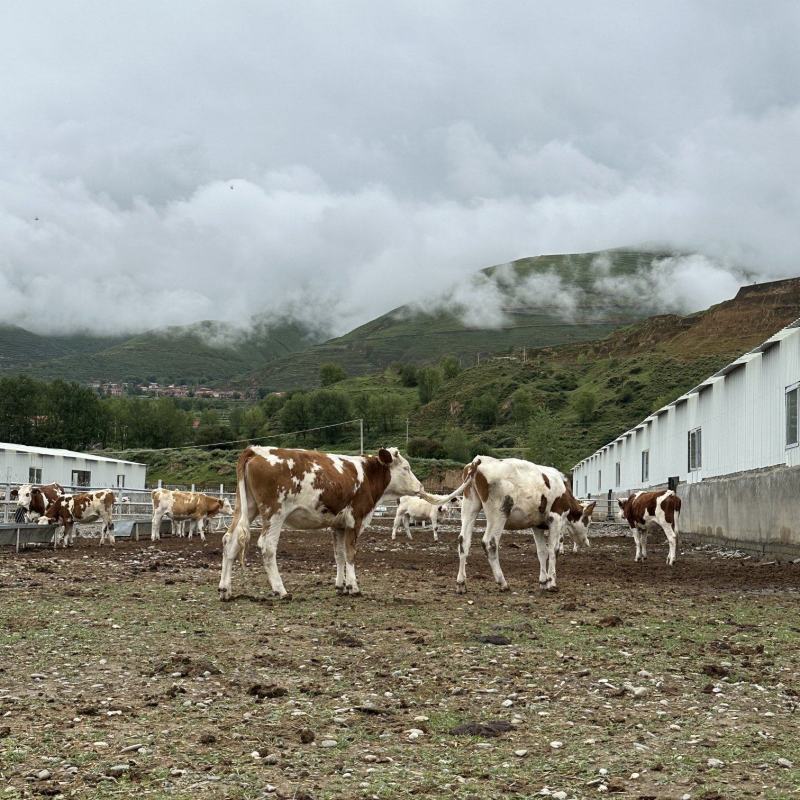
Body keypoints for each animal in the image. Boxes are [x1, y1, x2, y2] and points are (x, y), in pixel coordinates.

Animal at [219, 444, 468, 600]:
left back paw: (225, 589)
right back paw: (281, 590)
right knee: (267, 547)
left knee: (231, 540)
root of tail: (256, 450)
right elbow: (350, 554)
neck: (367, 474)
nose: (419, 487)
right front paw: (353, 587)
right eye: (406, 468)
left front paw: (340, 586)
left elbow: (338, 555)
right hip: (275, 513)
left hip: (247, 507)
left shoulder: (337, 524)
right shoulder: (354, 520)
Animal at [456, 456, 592, 592]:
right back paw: (502, 582)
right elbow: (553, 550)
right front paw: (552, 583)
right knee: (490, 543)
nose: (586, 542)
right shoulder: (556, 518)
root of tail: (479, 461)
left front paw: (543, 582)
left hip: (470, 506)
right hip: (499, 514)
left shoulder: (537, 526)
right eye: (587, 521)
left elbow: (542, 551)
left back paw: (461, 583)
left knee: (464, 541)